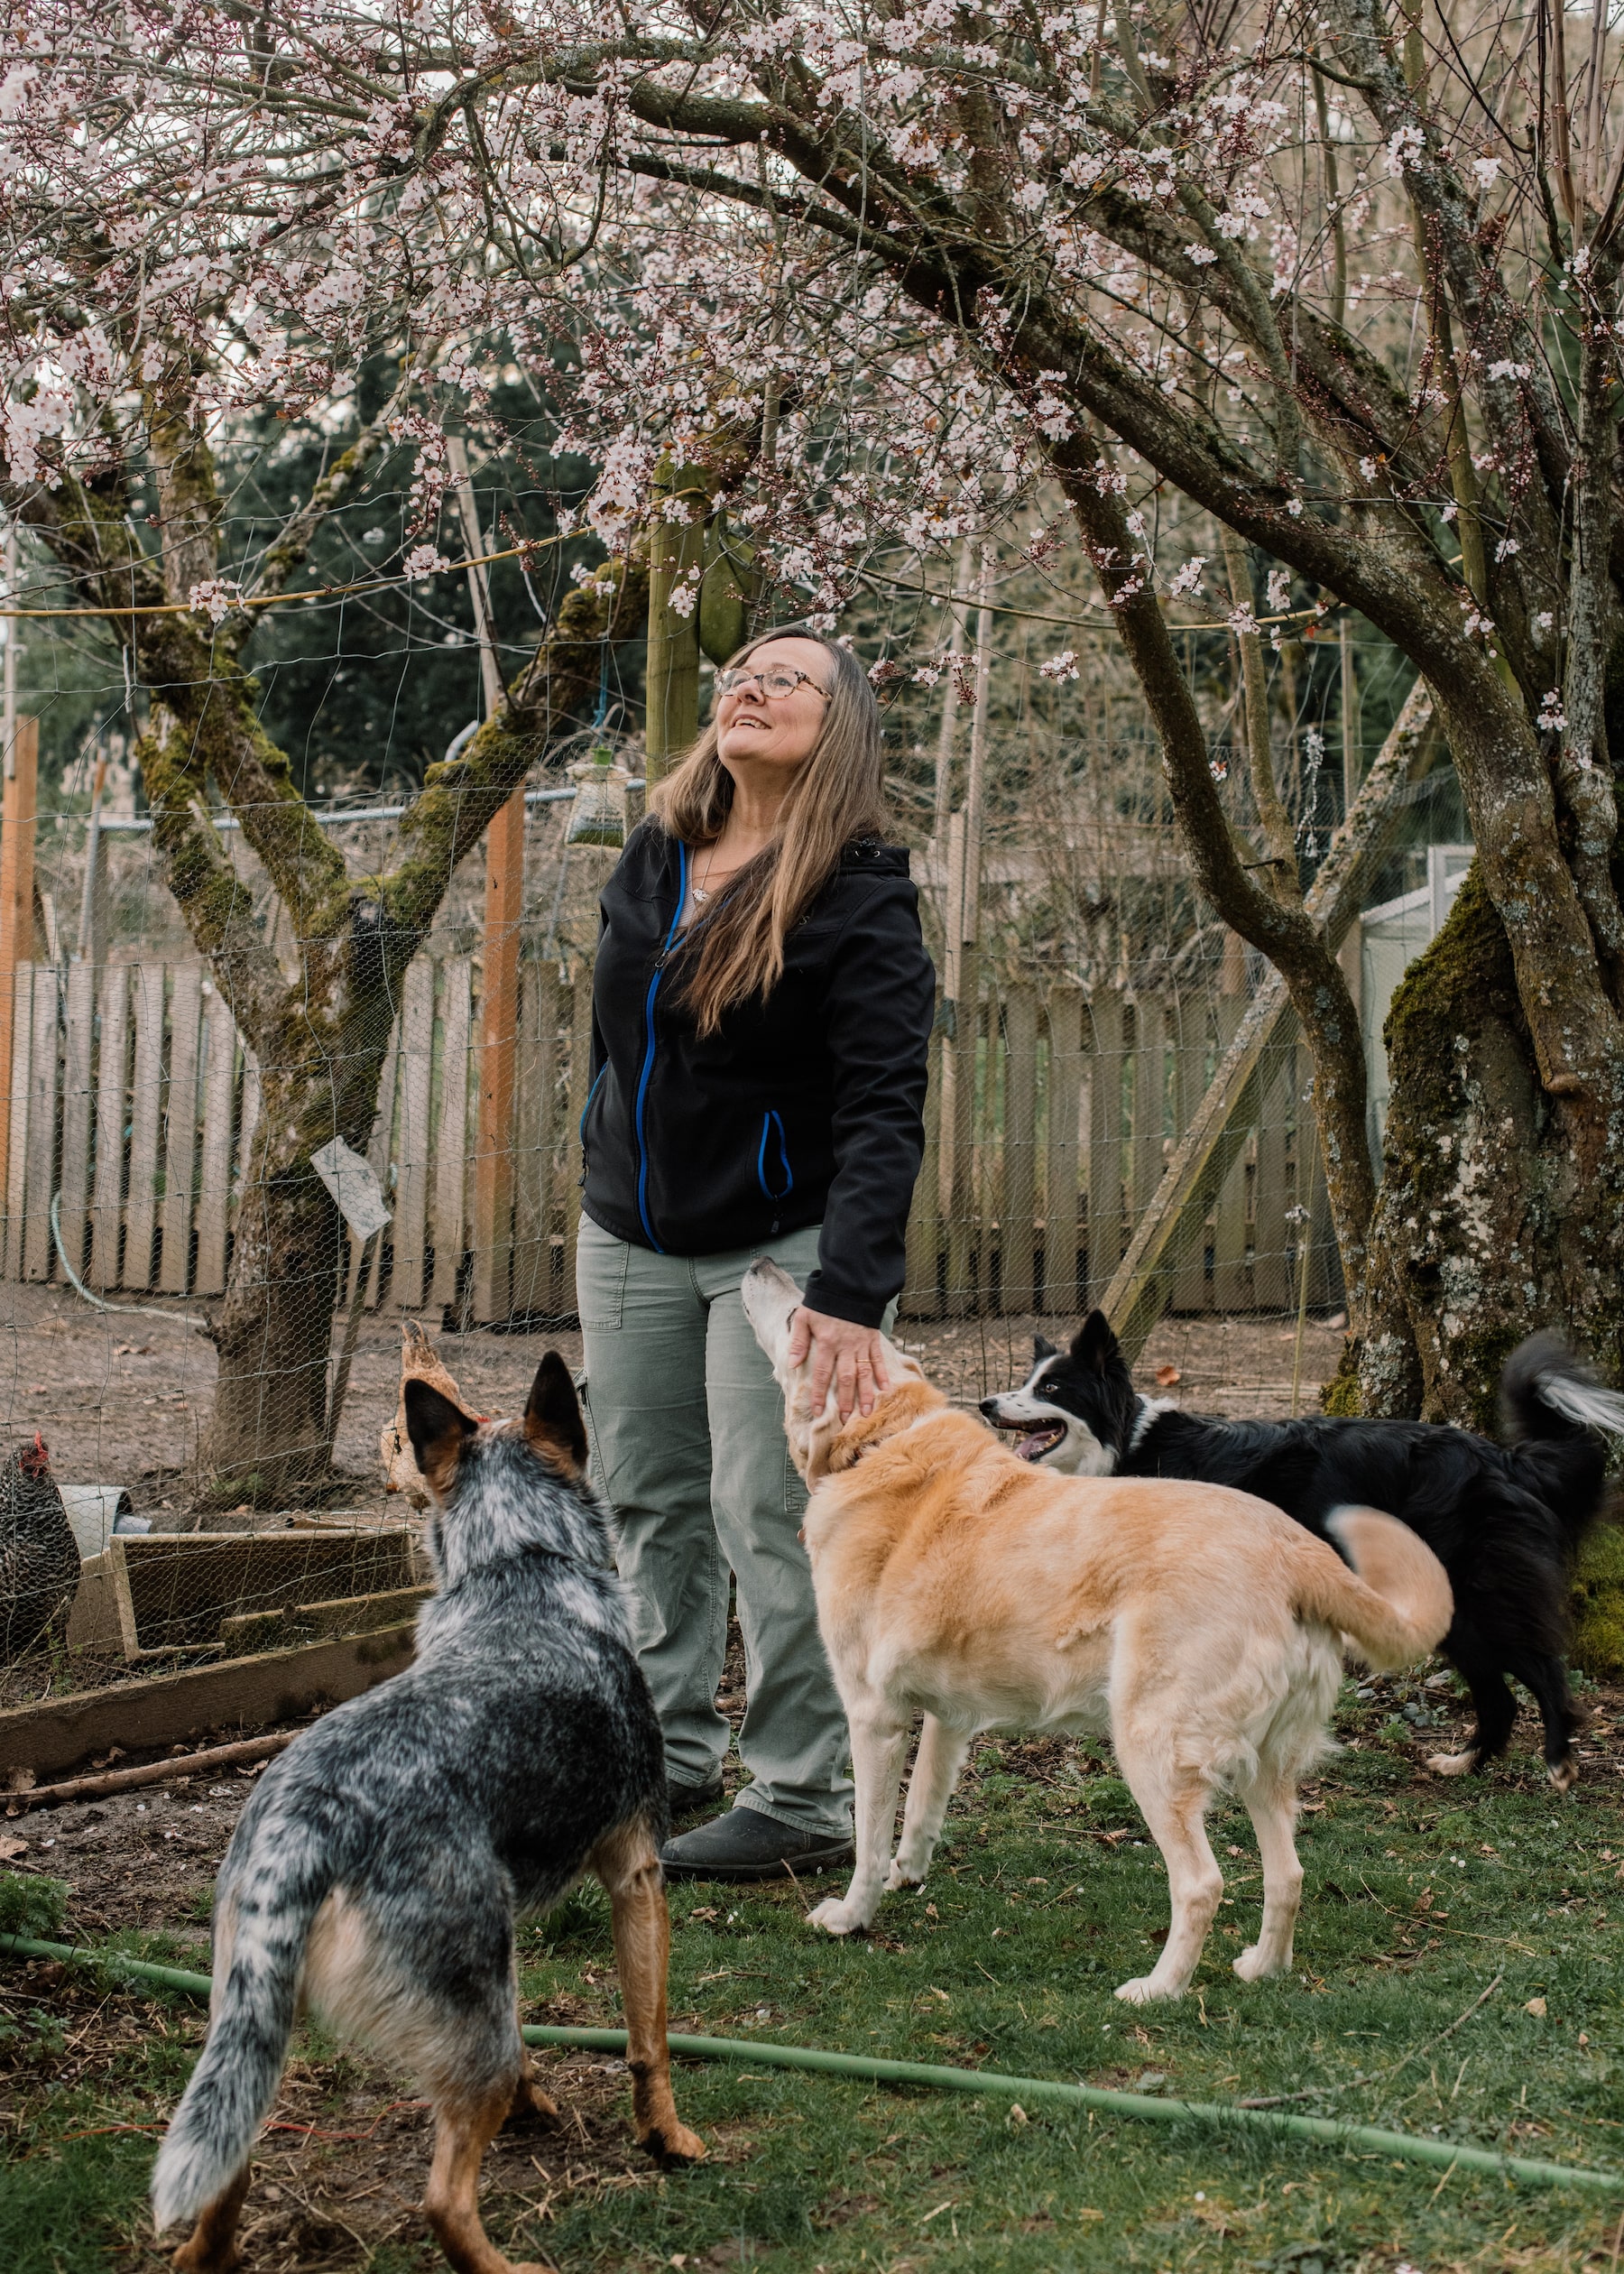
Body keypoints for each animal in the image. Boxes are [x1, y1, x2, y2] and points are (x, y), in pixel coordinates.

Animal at [152, 1353, 703, 2274]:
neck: (519, 1567)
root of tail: (303, 1825)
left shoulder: (506, 1939)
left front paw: (539, 2104)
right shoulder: (636, 1874)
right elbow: (647, 2040)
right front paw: (666, 2140)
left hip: (252, 2025)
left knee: (226, 2176)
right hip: (453, 2032)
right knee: (442, 2202)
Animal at [741, 1258, 1451, 2003]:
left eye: (796, 1318)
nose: (762, 1264)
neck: (885, 1442)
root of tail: (1295, 1552)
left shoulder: (873, 1714)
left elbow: (871, 1835)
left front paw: (853, 1915)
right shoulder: (947, 1716)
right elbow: (923, 1810)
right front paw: (909, 1873)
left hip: (1152, 1748)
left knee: (1202, 1883)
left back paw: (1160, 1989)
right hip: (1264, 1764)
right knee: (1288, 1874)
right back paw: (1262, 1968)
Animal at [982, 1313, 1624, 1791]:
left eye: (1051, 1389)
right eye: (1027, 1382)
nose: (986, 1404)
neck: (1129, 1448)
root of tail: (1505, 1459)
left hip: (1481, 1596)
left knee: (1543, 1669)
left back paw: (1558, 1761)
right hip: (1452, 1614)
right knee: (1499, 1696)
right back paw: (1463, 1763)